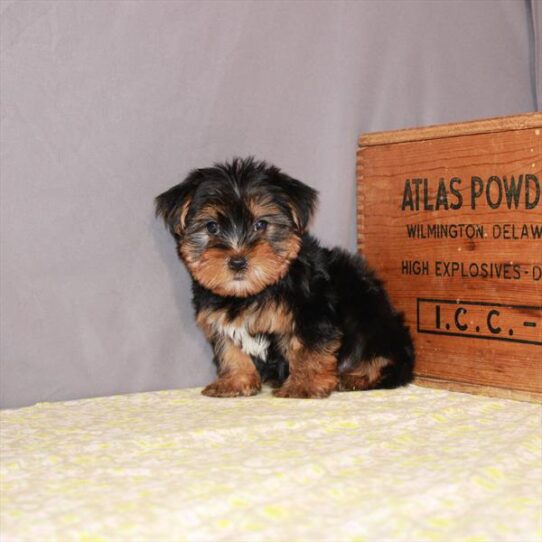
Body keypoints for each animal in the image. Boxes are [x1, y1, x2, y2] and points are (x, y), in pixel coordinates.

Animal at [157, 157, 416, 400]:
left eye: (261, 224)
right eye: (212, 227)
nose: (238, 261)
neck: (250, 293)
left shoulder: (312, 313)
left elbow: (308, 348)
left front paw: (303, 385)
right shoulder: (219, 319)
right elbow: (229, 349)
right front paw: (235, 381)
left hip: (367, 310)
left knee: (383, 357)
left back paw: (356, 377)